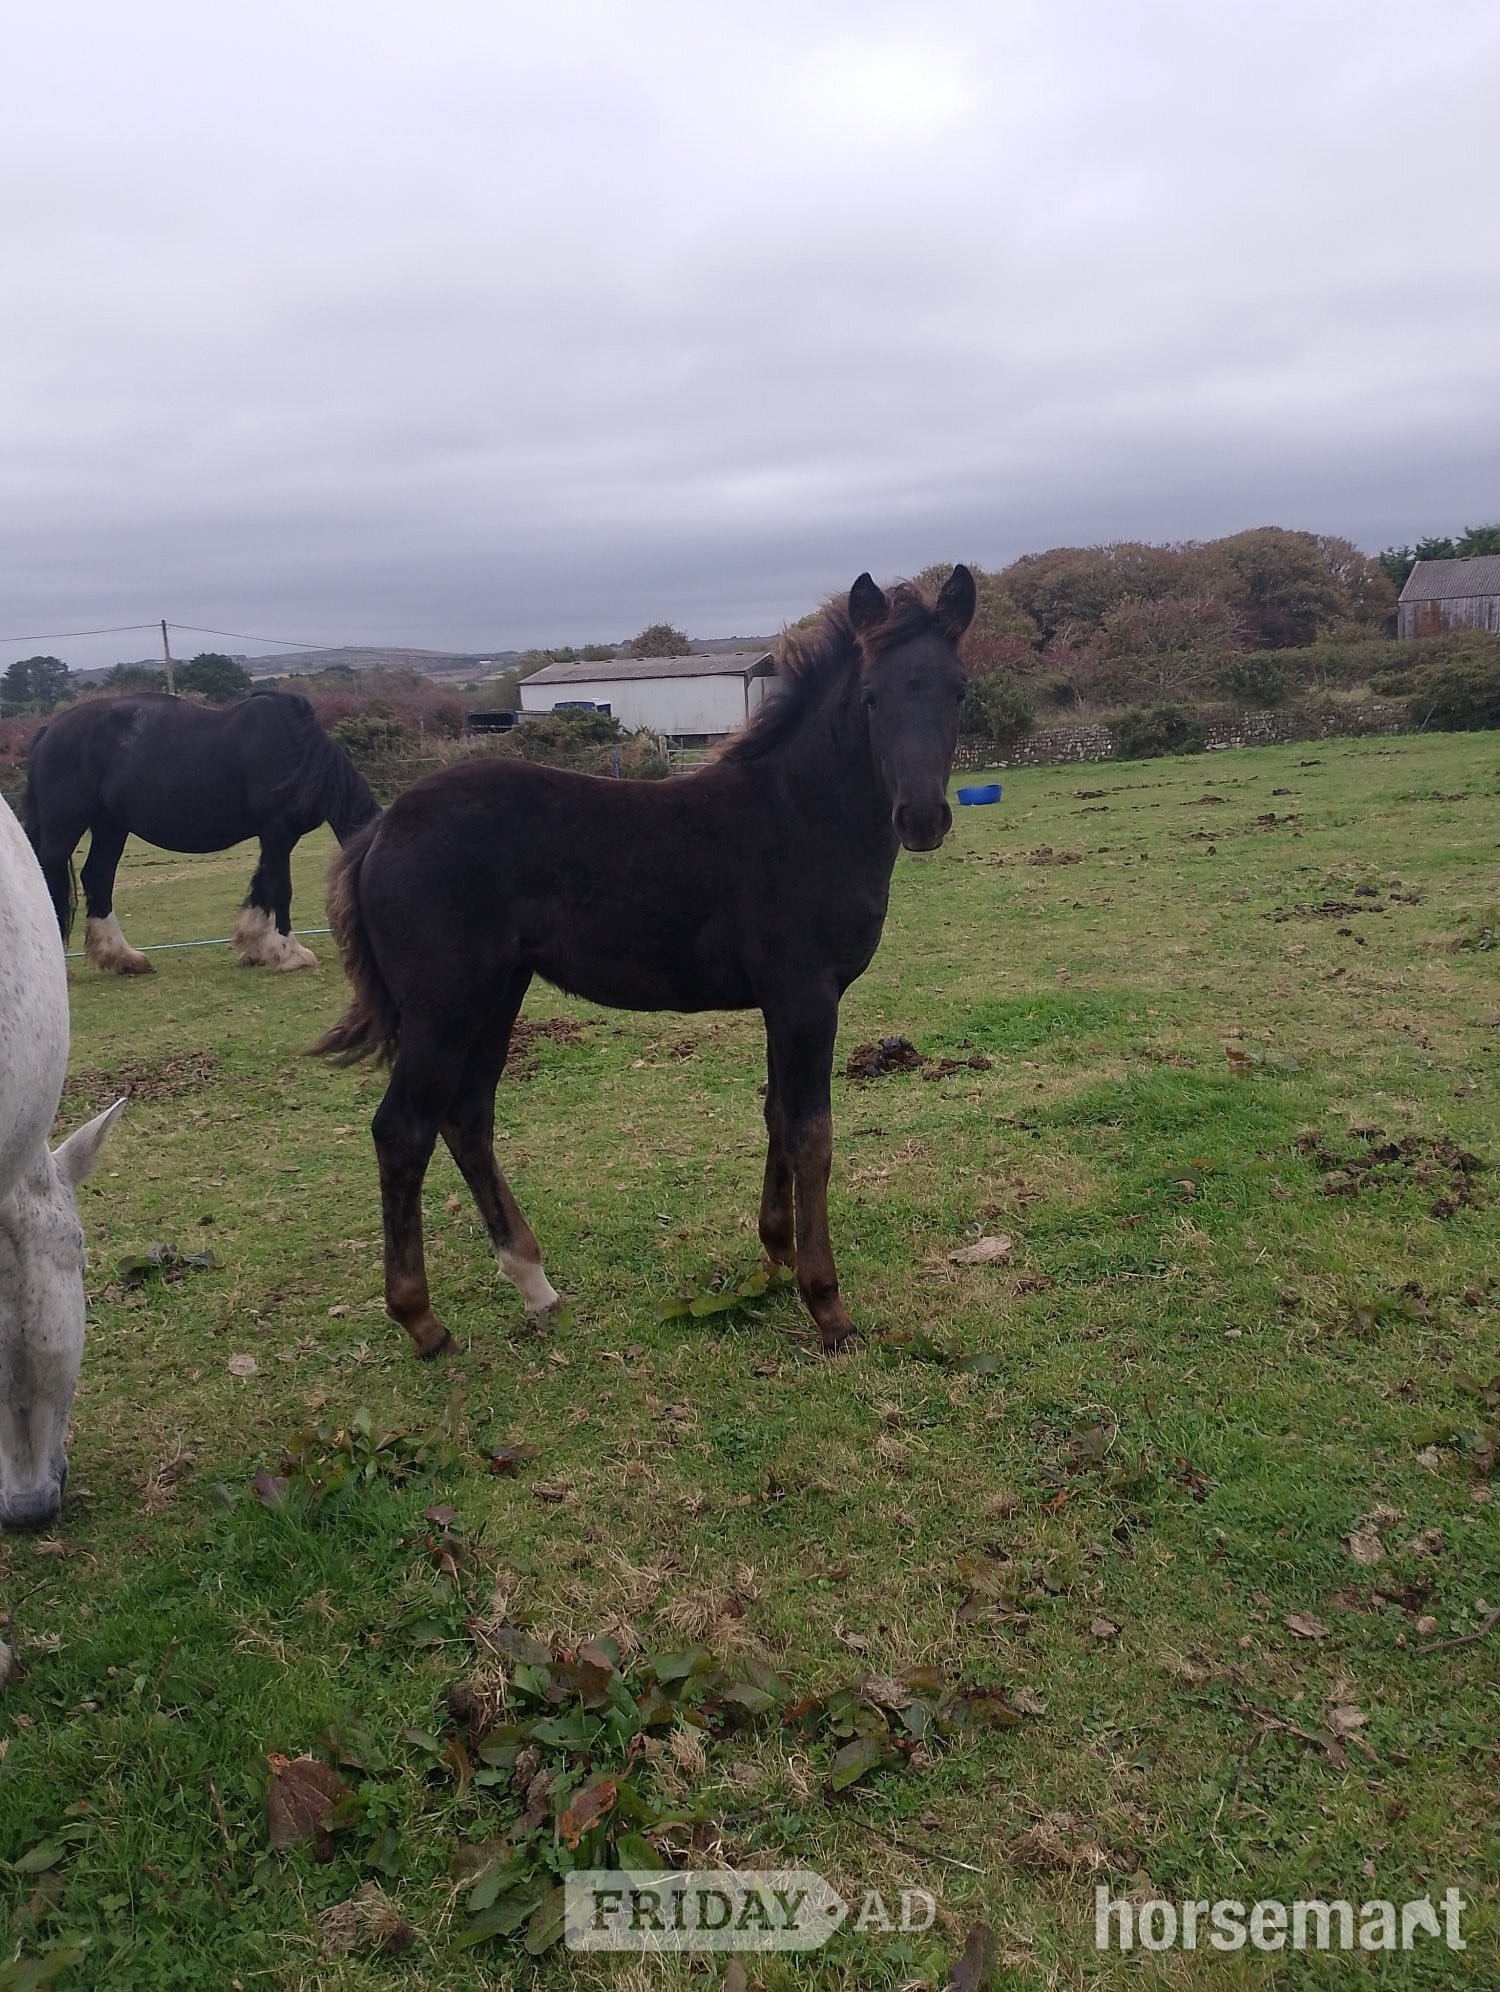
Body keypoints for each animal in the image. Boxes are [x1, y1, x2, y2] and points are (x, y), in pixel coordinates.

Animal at [23, 689, 380, 974]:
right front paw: (290, 954)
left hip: (110, 826)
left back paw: (125, 959)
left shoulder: (279, 837)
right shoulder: (277, 831)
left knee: (98, 877)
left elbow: (262, 887)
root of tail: (49, 730)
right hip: (64, 828)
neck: (298, 750)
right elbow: (281, 889)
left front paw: (255, 948)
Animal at [315, 566, 976, 1358]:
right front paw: (827, 1305)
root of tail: (382, 830)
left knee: (467, 1115)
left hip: (497, 992)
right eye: (873, 695)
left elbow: (777, 1115)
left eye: (959, 690)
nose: (922, 818)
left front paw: (777, 1252)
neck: (801, 814)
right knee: (402, 1130)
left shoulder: (782, 1002)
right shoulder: (807, 996)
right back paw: (423, 1321)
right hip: (443, 1004)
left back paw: (536, 1287)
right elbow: (811, 1133)